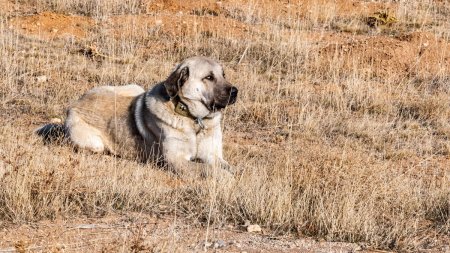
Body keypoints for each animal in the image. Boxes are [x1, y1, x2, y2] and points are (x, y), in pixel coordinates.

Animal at [37, 56, 237, 177]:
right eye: (209, 77)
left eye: (223, 74)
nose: (235, 91)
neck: (194, 120)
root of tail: (75, 104)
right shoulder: (176, 161)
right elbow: (206, 168)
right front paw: (224, 176)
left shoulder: (213, 154)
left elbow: (225, 165)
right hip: (94, 143)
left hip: (134, 87)